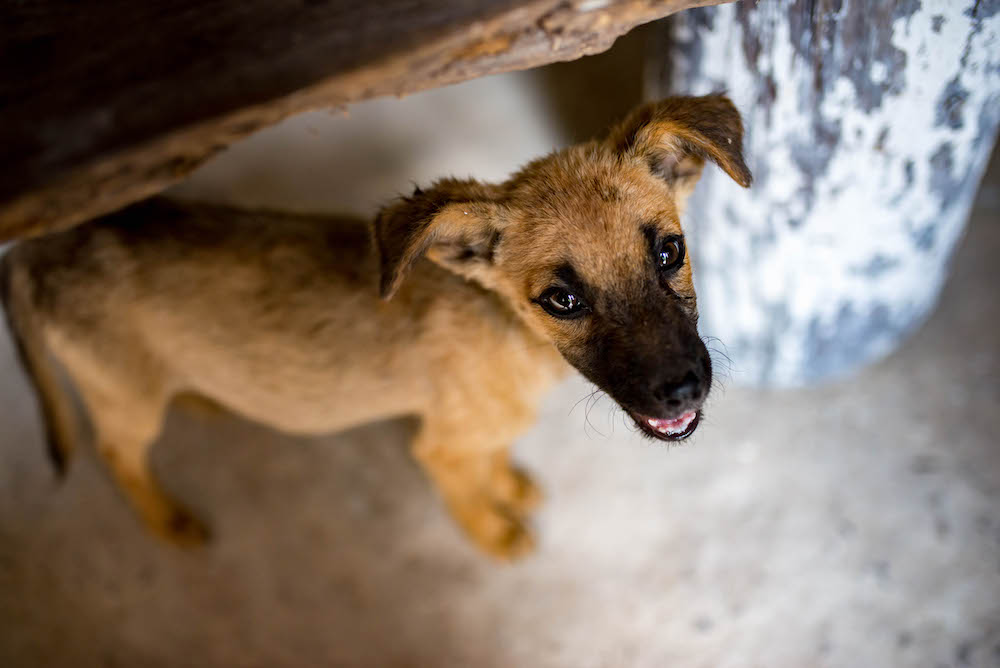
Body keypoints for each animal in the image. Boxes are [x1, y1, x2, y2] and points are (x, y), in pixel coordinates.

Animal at [1, 94, 752, 560]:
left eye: (669, 252)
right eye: (561, 299)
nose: (682, 390)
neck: (512, 339)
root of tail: (35, 249)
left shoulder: (471, 430)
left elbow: (493, 458)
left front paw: (510, 484)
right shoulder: (439, 448)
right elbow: (467, 491)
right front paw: (495, 532)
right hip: (123, 400)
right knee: (117, 454)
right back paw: (168, 521)